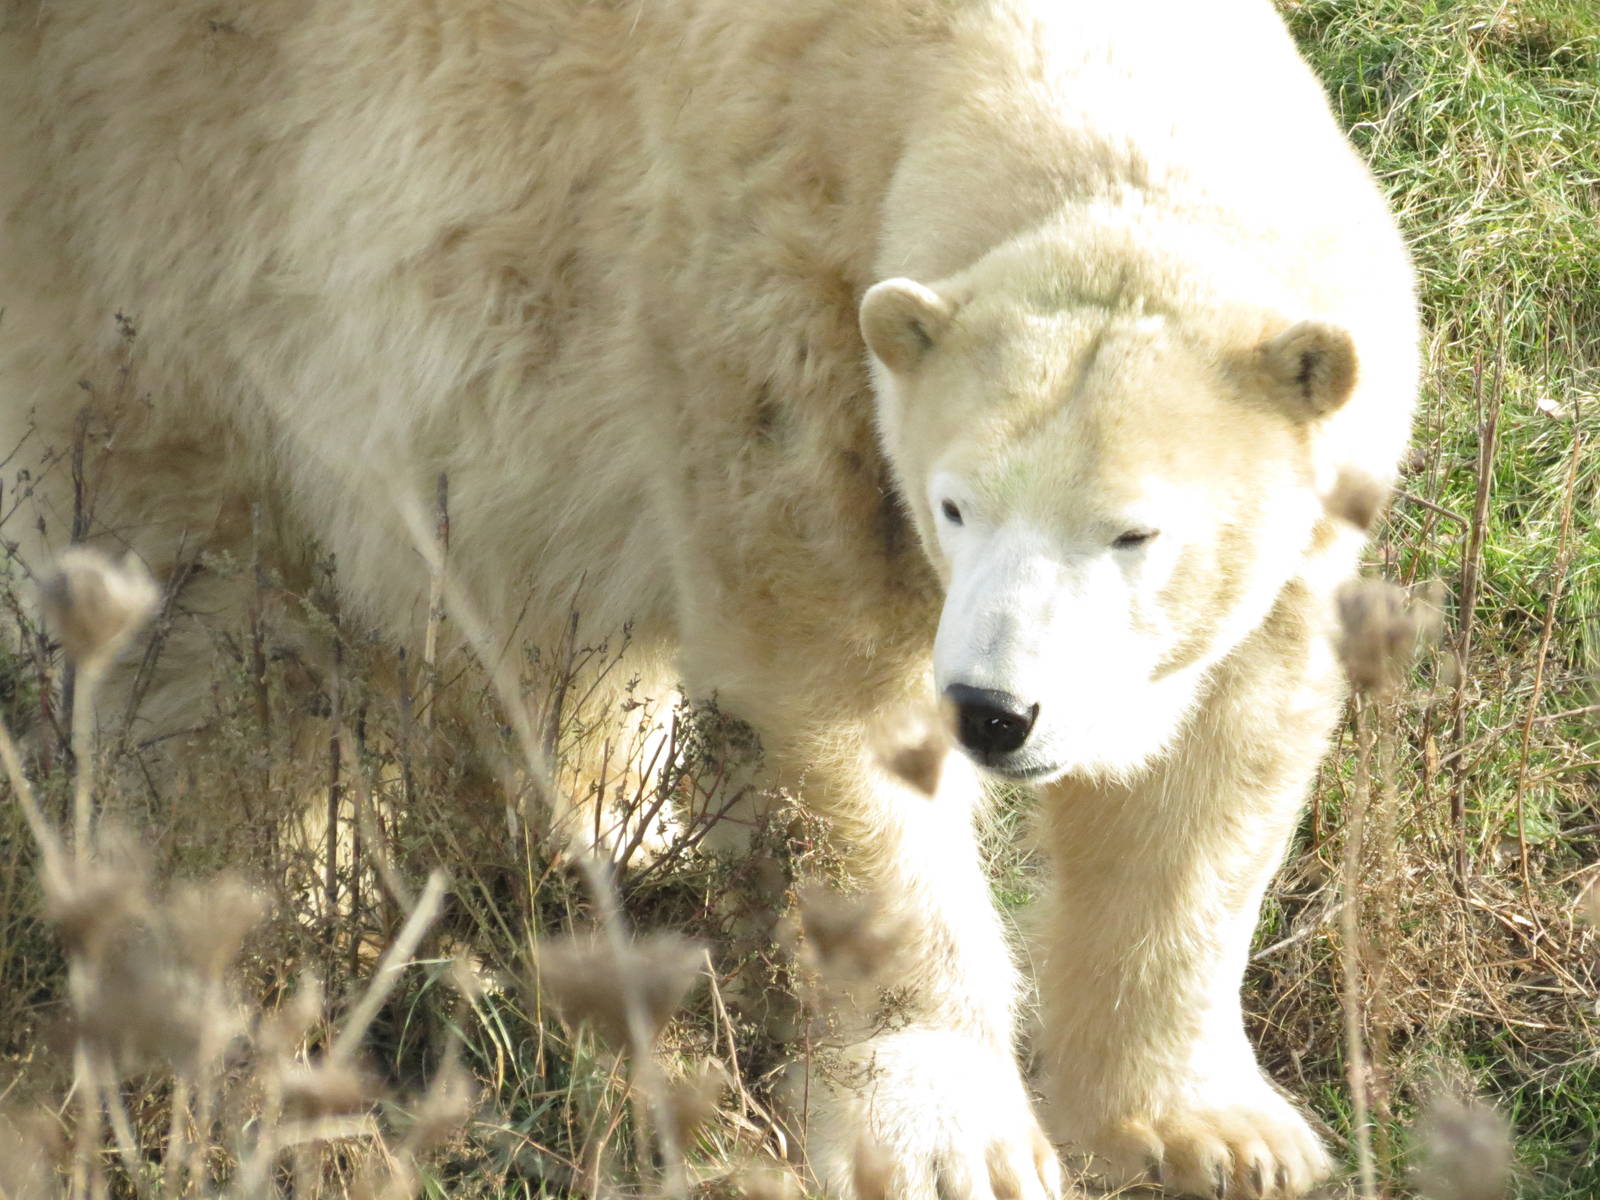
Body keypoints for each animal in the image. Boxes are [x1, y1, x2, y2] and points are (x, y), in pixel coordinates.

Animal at [0, 0, 1417, 1196]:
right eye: (956, 505)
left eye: (1135, 532)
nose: (993, 712)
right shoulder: (765, 323)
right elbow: (834, 695)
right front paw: (947, 1142)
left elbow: (1218, 767)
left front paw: (1217, 1133)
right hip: (168, 218)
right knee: (198, 606)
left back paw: (623, 829)